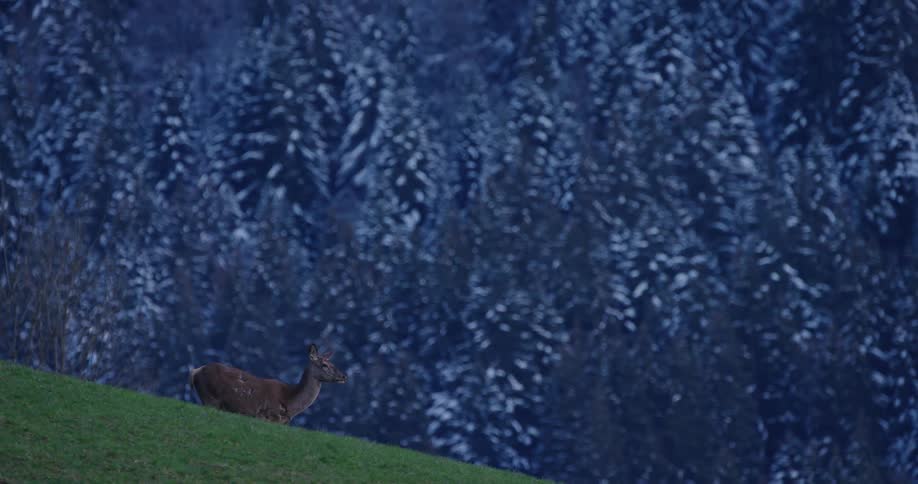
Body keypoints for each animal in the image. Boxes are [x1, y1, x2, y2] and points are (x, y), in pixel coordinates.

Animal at [189, 344, 347, 425]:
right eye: (324, 365)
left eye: (332, 363)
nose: (344, 376)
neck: (290, 403)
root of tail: (196, 371)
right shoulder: (265, 416)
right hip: (210, 398)